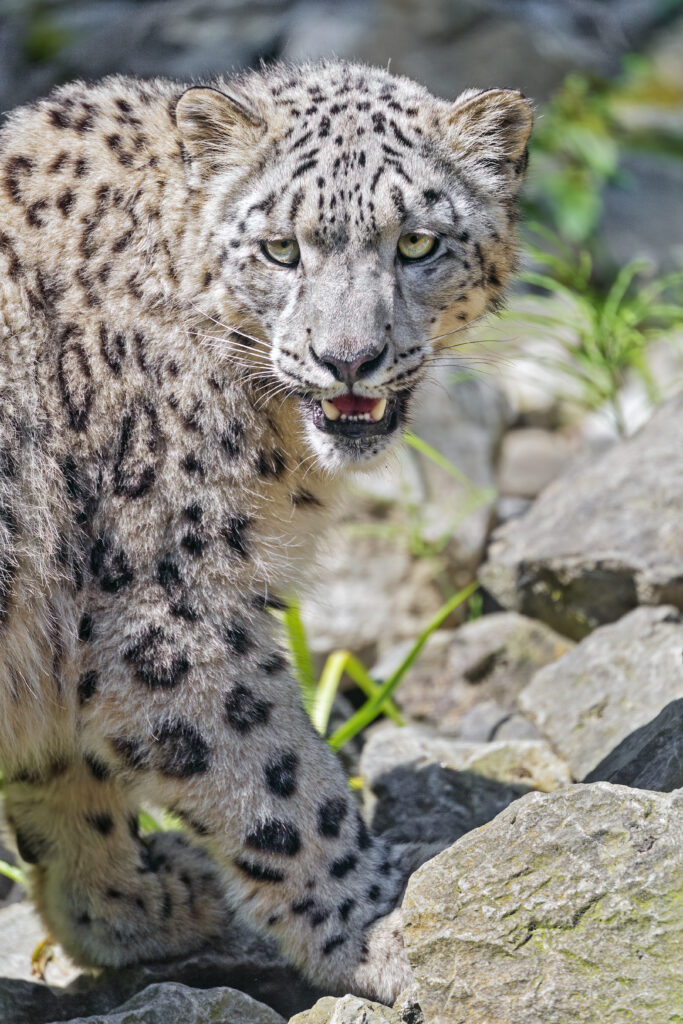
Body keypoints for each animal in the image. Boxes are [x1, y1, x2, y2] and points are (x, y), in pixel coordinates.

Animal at [0, 59, 532, 1005]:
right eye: (281, 249)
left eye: (417, 244)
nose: (348, 358)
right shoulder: (172, 614)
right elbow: (283, 789)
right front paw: (392, 931)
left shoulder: (67, 634)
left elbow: (63, 772)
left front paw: (129, 907)